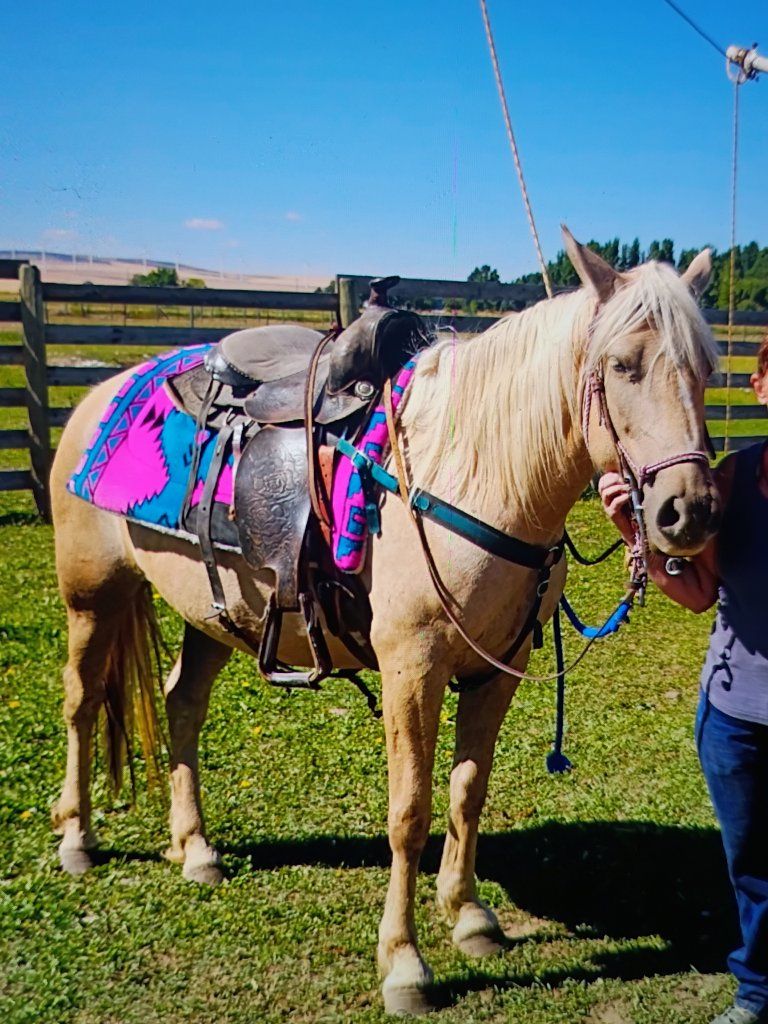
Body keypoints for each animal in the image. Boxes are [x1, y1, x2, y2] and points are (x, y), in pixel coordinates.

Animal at [49, 230, 720, 1015]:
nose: (689, 510)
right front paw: (404, 962)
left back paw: (196, 848)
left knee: (183, 700)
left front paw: (469, 915)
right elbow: (410, 810)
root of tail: (102, 392)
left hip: (216, 612)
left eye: (707, 370)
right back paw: (77, 838)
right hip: (92, 593)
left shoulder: (500, 669)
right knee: (82, 700)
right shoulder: (412, 668)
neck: (473, 469)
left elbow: (468, 790)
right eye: (621, 365)